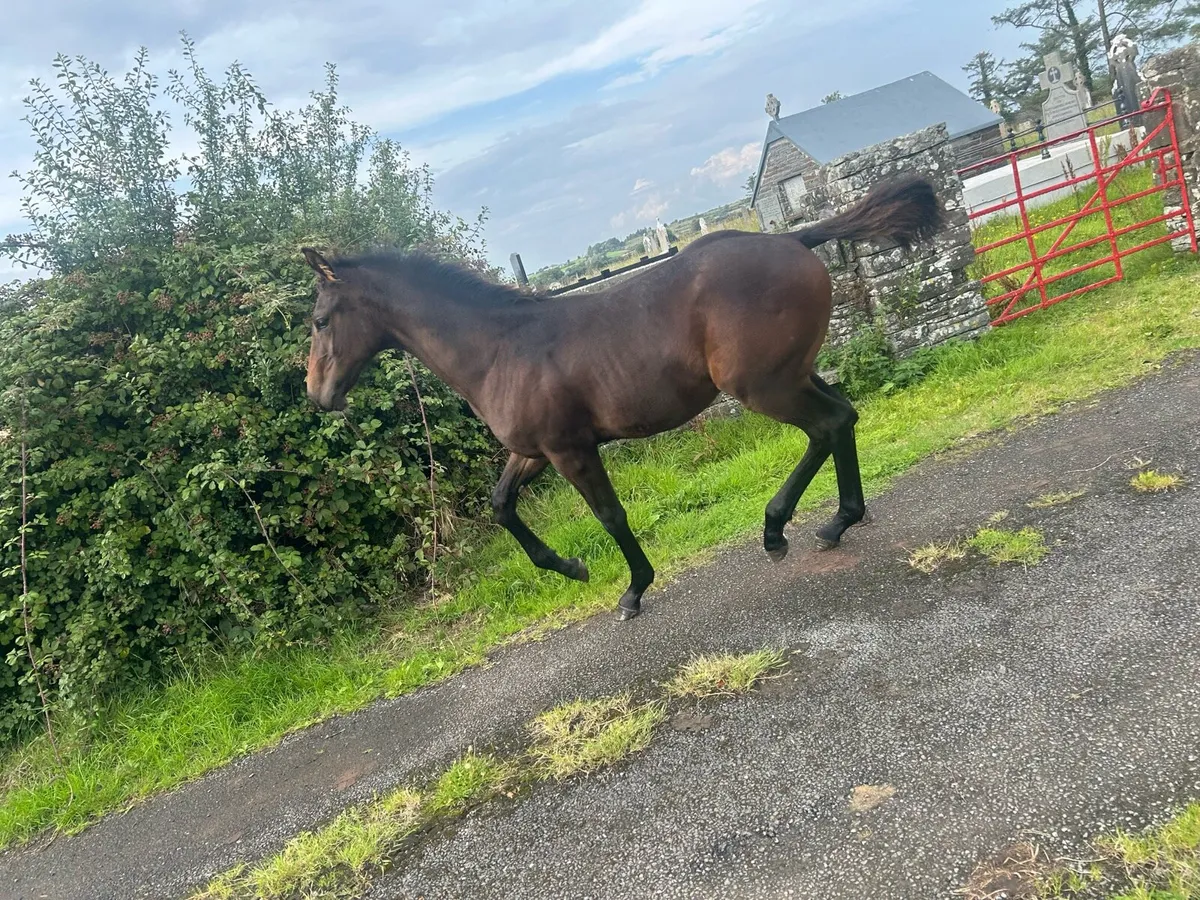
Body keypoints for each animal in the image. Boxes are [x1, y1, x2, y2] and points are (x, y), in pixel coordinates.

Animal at [302, 174, 944, 621]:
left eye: (320, 320)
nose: (317, 395)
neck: (499, 347)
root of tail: (794, 236)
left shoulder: (571, 450)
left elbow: (610, 515)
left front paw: (633, 590)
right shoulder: (534, 451)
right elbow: (501, 505)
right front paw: (572, 568)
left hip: (766, 387)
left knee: (828, 425)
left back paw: (785, 529)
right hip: (794, 375)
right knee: (843, 418)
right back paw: (835, 521)